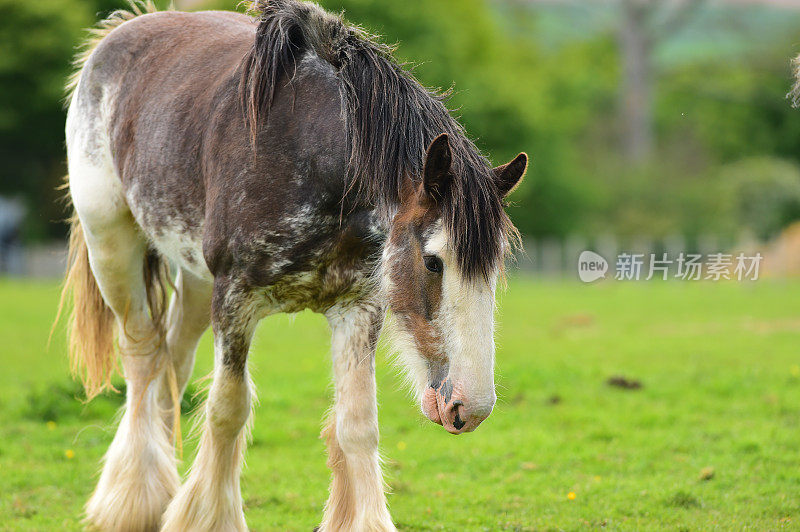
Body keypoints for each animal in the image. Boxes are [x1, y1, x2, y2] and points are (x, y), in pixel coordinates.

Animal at [61, 2, 524, 528]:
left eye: (494, 269)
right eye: (433, 262)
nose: (471, 407)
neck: (307, 156)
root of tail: (125, 30)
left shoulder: (358, 307)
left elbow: (357, 424)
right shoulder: (235, 299)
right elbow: (227, 410)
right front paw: (209, 516)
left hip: (194, 277)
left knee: (171, 362)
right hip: (111, 246)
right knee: (142, 357)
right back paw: (133, 501)